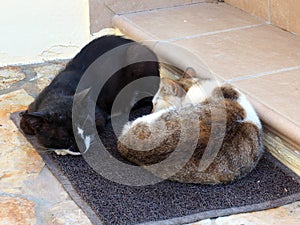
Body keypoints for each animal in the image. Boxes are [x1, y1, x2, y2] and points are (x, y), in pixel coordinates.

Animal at [20, 35, 159, 154]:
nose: (80, 147)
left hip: (136, 55)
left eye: (85, 128)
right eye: (65, 138)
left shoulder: (98, 116)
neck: (59, 93)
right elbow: (23, 123)